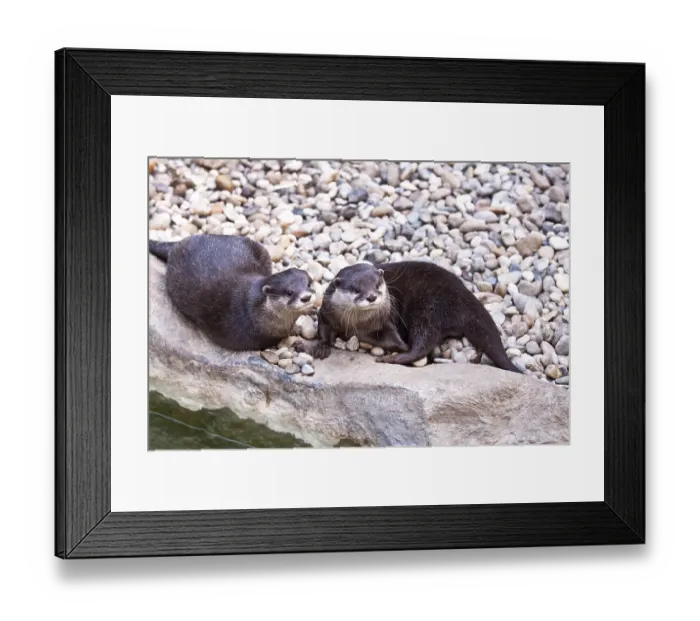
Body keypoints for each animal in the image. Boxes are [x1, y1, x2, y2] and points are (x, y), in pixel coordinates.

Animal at [149, 235, 315, 351]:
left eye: (308, 284)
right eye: (289, 292)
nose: (306, 297)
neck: (254, 313)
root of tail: (178, 245)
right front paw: (295, 330)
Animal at [312, 261, 521, 373]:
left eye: (378, 284)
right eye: (356, 289)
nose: (371, 296)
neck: (359, 325)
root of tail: (464, 295)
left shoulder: (387, 320)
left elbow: (400, 340)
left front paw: (402, 348)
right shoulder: (326, 312)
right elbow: (323, 330)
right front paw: (322, 347)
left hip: (428, 309)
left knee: (424, 342)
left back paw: (394, 358)